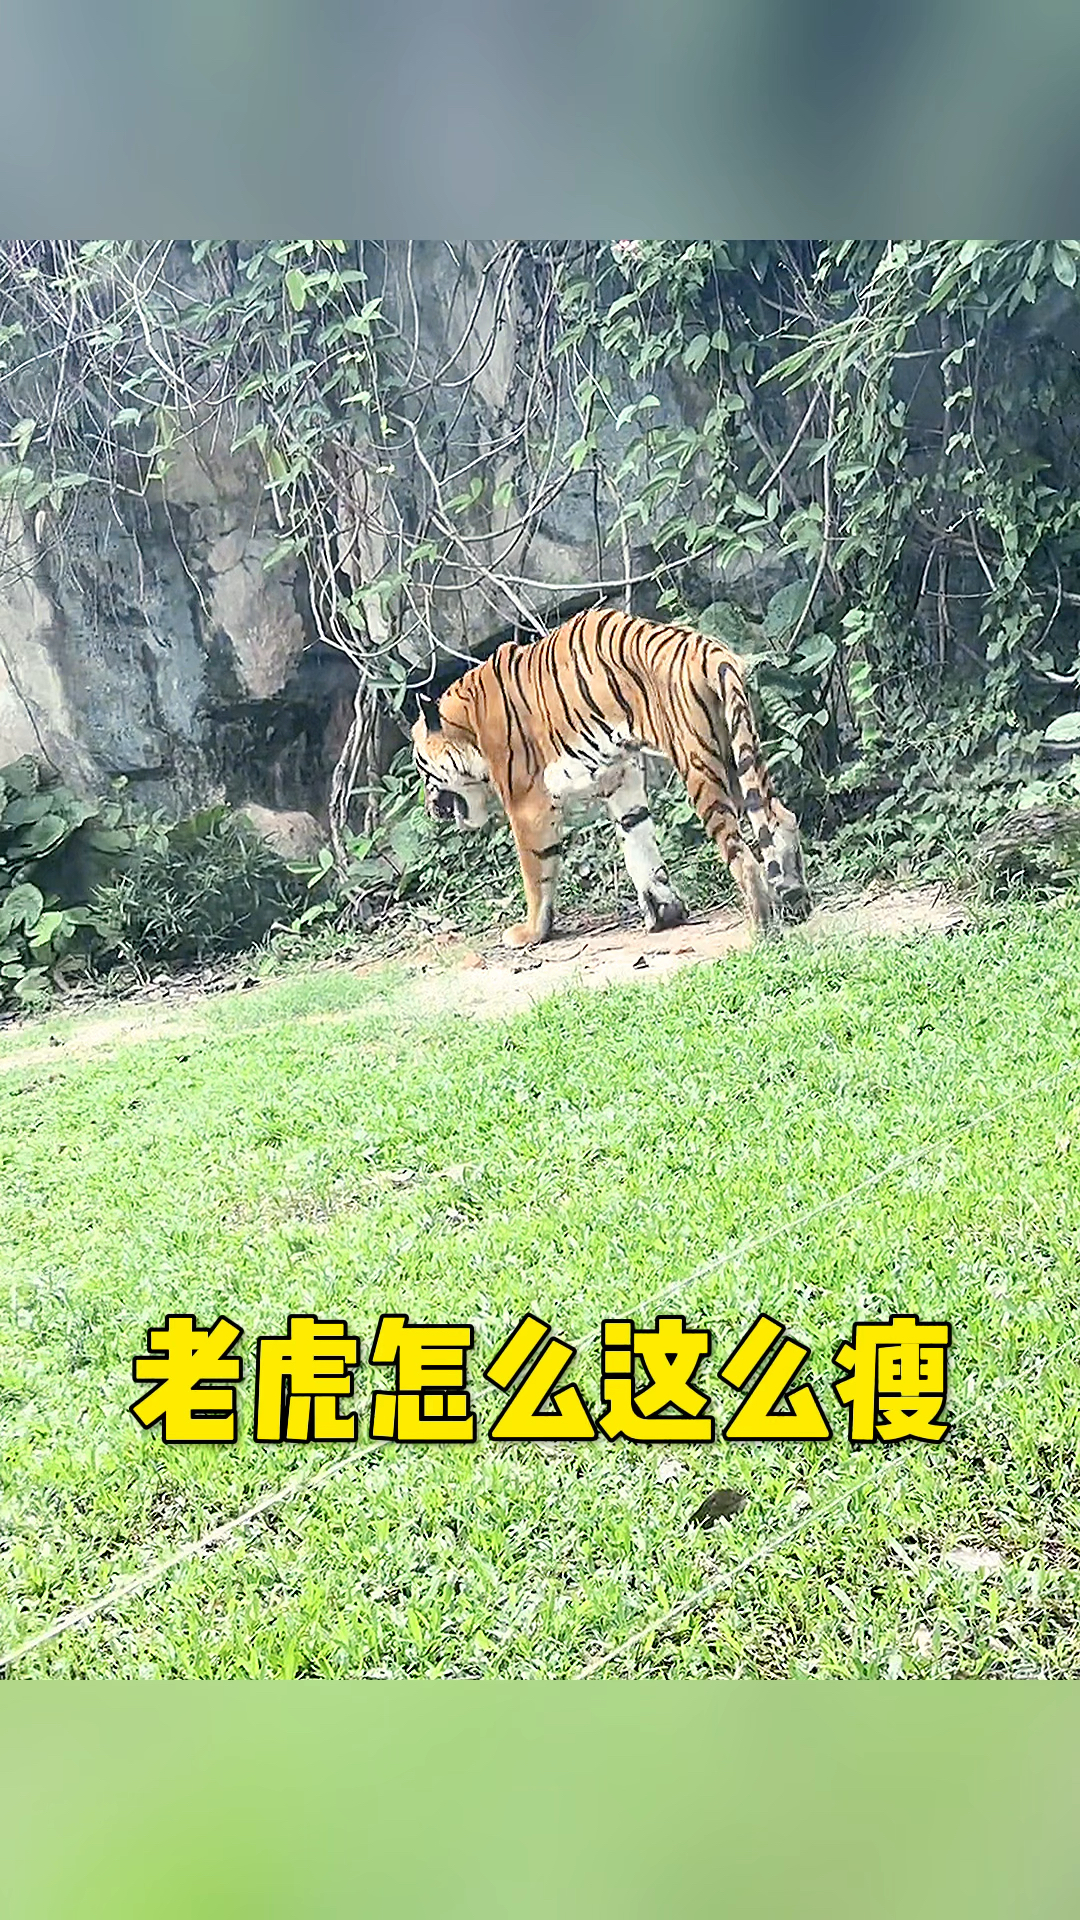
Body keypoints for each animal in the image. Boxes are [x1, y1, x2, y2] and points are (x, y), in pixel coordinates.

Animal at [410, 606, 811, 948]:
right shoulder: (619, 778)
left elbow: (535, 873)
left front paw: (531, 932)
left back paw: (763, 931)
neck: (469, 727)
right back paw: (795, 901)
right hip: (738, 753)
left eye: (420, 765)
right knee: (780, 818)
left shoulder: (528, 804)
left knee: (742, 854)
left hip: (700, 765)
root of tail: (711, 651)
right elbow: (639, 846)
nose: (429, 808)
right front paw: (666, 913)